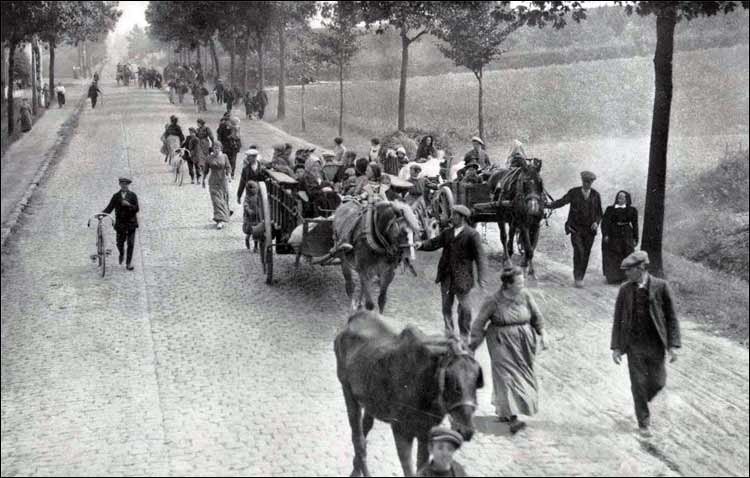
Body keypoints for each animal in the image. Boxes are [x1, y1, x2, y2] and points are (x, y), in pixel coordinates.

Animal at [336, 312, 488, 476]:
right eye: (450, 380)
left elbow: (421, 465)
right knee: (358, 440)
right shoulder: (401, 430)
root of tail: (354, 318)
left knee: (365, 430)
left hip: (370, 399)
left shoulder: (425, 432)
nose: (467, 430)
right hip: (347, 389)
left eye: (477, 380)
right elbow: (409, 469)